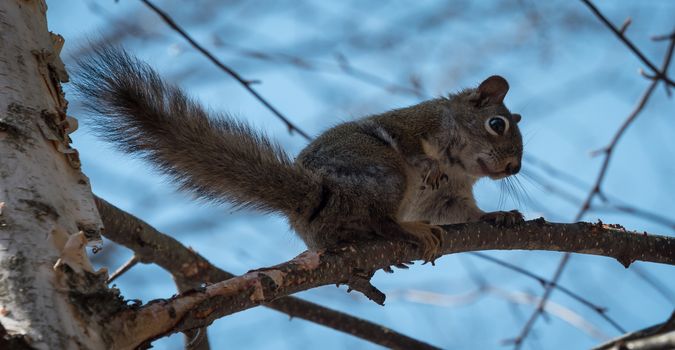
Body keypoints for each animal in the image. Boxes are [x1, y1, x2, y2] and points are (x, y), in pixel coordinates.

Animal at [76, 46, 524, 262]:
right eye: (497, 124)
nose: (513, 167)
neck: (457, 164)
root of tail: (315, 199)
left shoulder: (449, 196)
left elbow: (464, 213)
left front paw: (497, 215)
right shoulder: (415, 125)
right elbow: (413, 144)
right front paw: (429, 164)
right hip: (383, 171)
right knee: (382, 219)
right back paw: (407, 230)